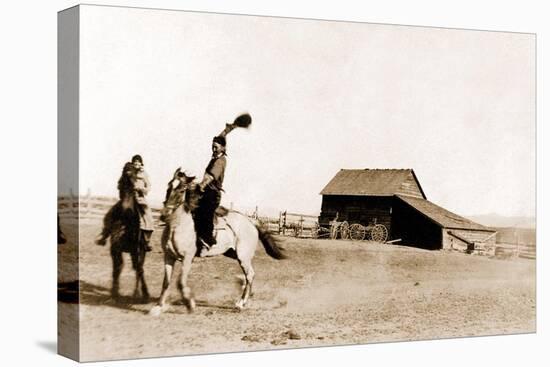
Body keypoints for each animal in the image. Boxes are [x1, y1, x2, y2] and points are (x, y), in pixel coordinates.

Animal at [151, 170, 288, 316]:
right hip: (232, 253)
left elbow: (180, 282)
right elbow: (166, 283)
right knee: (247, 277)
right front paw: (158, 306)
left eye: (182, 190)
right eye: (168, 187)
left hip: (243, 257)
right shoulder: (168, 256)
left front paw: (189, 304)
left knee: (250, 275)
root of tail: (250, 220)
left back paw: (240, 304)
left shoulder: (188, 258)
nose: (164, 215)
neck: (178, 226)